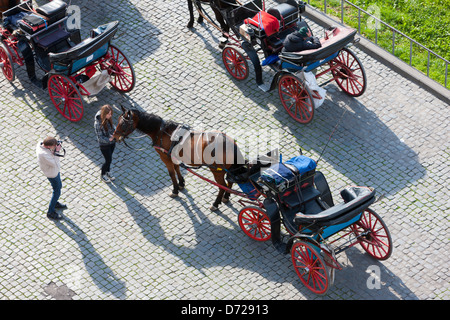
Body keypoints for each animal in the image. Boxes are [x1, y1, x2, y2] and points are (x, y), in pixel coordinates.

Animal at [112, 107, 246, 211]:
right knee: (230, 181)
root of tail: (230, 143)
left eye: (123, 124)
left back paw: (215, 203)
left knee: (222, 185)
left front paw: (175, 190)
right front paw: (181, 184)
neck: (161, 132)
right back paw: (226, 197)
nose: (114, 137)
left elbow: (172, 174)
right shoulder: (173, 156)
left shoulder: (165, 158)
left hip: (217, 171)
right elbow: (177, 169)